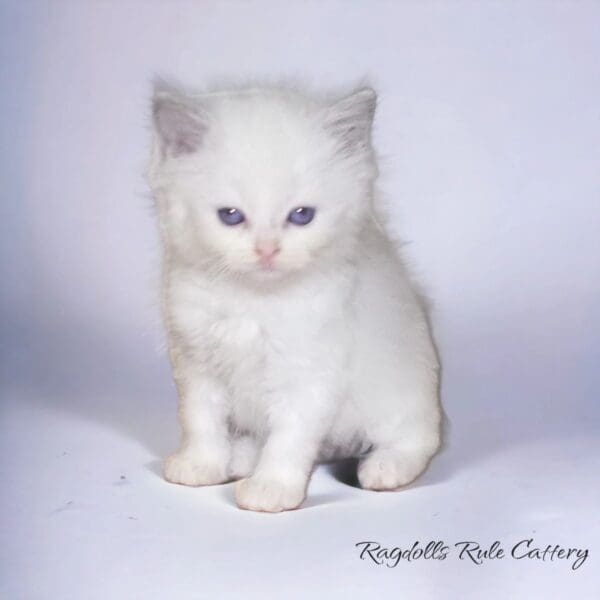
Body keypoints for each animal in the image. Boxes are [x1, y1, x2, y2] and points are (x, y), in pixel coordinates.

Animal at [148, 81, 442, 510]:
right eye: (231, 215)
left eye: (301, 215)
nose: (267, 250)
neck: (254, 302)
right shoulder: (195, 362)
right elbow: (200, 418)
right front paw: (200, 464)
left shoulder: (309, 372)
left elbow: (289, 438)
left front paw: (271, 489)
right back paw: (240, 457)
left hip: (400, 389)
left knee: (417, 437)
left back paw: (386, 468)